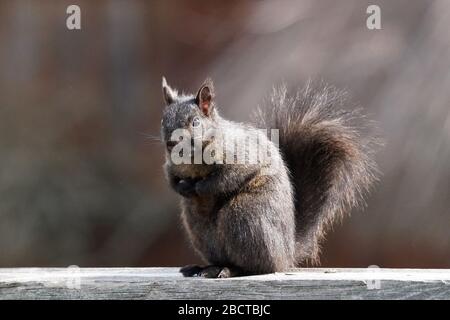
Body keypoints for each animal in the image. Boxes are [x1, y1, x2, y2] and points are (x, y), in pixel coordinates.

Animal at [160, 76, 378, 276]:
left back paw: (232, 270)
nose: (170, 144)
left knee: (259, 266)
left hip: (245, 216)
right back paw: (205, 267)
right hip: (199, 227)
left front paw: (199, 187)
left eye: (195, 122)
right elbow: (171, 180)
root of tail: (287, 254)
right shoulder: (170, 167)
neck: (191, 160)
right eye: (163, 120)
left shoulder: (241, 156)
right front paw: (182, 187)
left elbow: (227, 178)